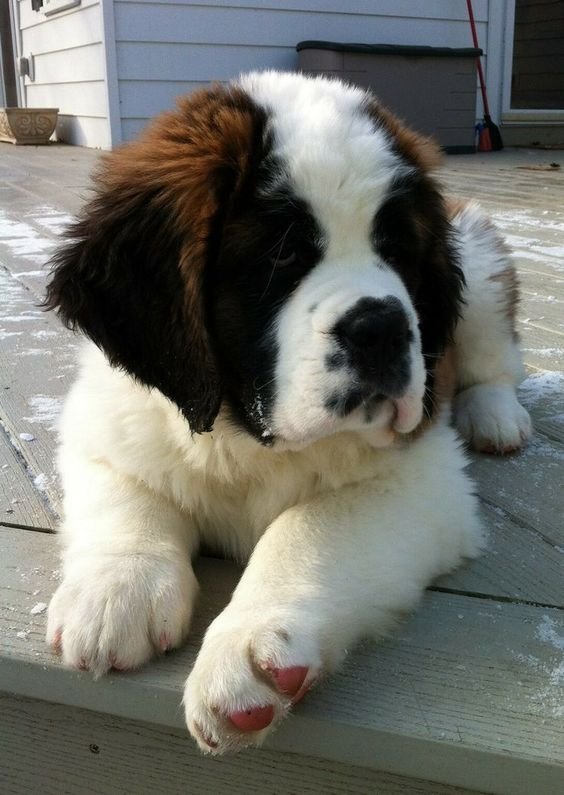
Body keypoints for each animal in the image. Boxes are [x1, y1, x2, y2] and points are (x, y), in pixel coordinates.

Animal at [45, 68, 532, 752]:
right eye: (280, 255)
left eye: (399, 252)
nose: (383, 328)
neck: (244, 435)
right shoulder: (101, 420)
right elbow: (128, 491)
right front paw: (117, 591)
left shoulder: (422, 479)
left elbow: (307, 525)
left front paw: (250, 645)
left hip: (480, 257)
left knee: (495, 362)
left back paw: (495, 417)